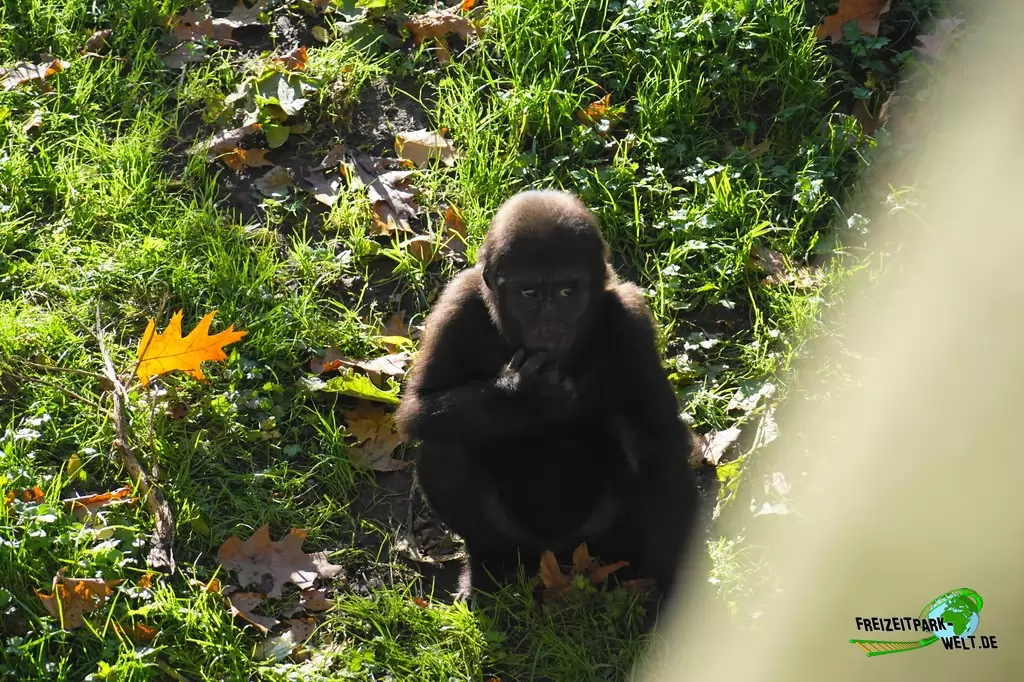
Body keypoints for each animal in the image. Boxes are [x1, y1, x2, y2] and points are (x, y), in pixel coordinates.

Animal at [395, 189, 703, 609]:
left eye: (567, 291)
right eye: (528, 293)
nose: (550, 326)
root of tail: (557, 556)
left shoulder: (630, 317)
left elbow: (660, 443)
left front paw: (667, 583)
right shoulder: (458, 302)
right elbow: (419, 408)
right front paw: (523, 394)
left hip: (595, 541)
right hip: (523, 542)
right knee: (444, 446)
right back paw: (490, 562)